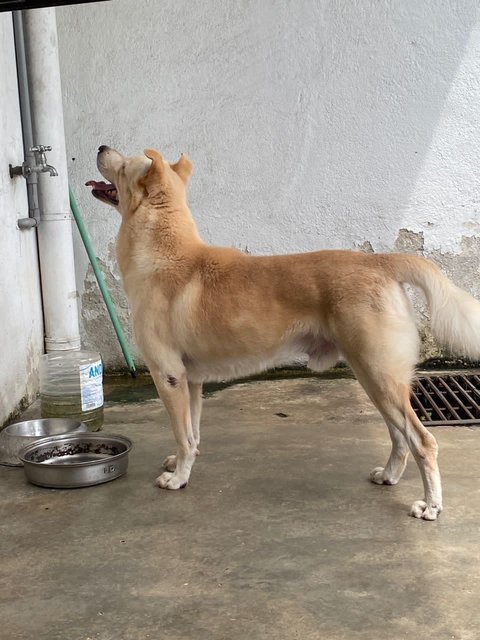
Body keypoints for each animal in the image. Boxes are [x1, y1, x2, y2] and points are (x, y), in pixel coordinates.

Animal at [88, 148, 480, 524]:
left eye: (123, 165)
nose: (101, 146)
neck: (165, 252)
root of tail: (381, 261)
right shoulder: (191, 381)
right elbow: (192, 432)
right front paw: (183, 463)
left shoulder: (168, 377)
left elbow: (183, 435)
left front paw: (179, 477)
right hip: (376, 380)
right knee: (400, 437)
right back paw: (389, 475)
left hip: (379, 376)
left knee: (422, 442)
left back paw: (431, 506)